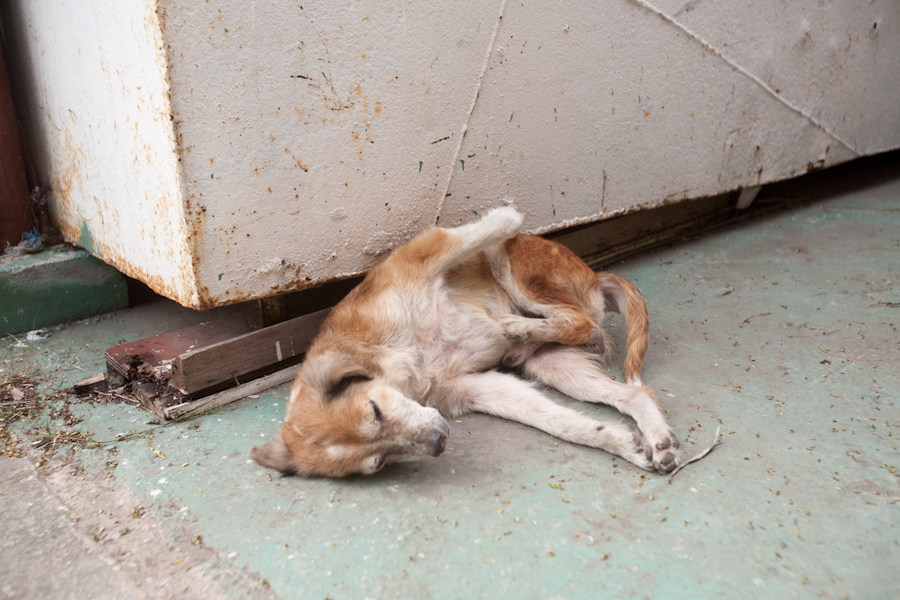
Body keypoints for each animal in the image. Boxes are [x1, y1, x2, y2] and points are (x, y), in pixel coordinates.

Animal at [251, 208, 680, 477]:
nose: (440, 442)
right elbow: (563, 424)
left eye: (375, 410)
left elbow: (504, 217)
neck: (405, 362)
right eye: (378, 462)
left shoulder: (428, 251)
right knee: (632, 388)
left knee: (580, 322)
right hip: (555, 366)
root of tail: (594, 275)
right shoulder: (480, 389)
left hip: (514, 270)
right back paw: (658, 439)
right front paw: (621, 444)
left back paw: (517, 328)